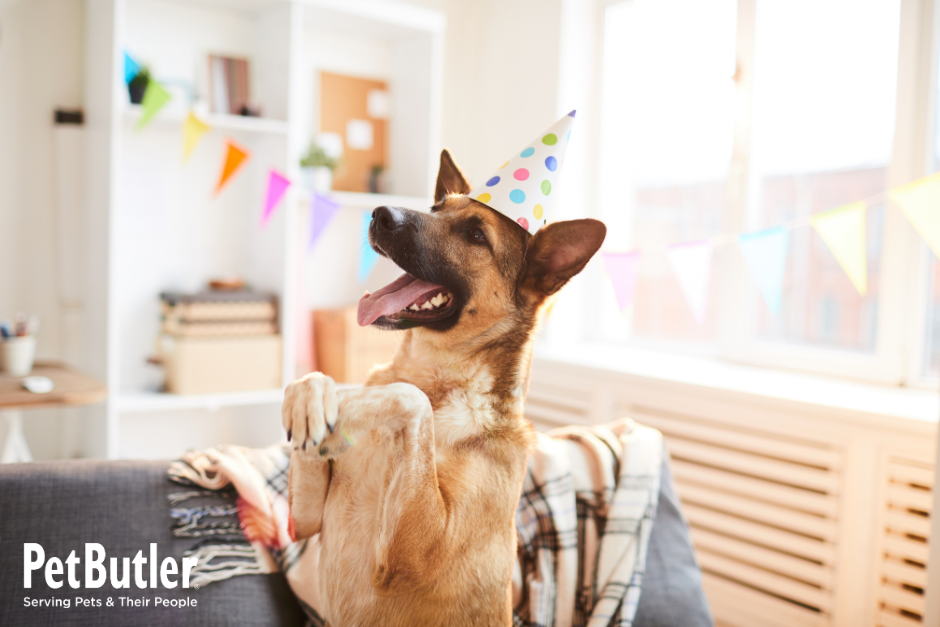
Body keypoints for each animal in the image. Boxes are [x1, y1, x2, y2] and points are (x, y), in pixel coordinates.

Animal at [282, 150, 604, 624]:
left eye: (476, 234)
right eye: (436, 209)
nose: (380, 214)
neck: (432, 374)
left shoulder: (420, 549)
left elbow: (409, 398)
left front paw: (353, 404)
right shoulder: (302, 522)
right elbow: (316, 382)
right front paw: (312, 401)